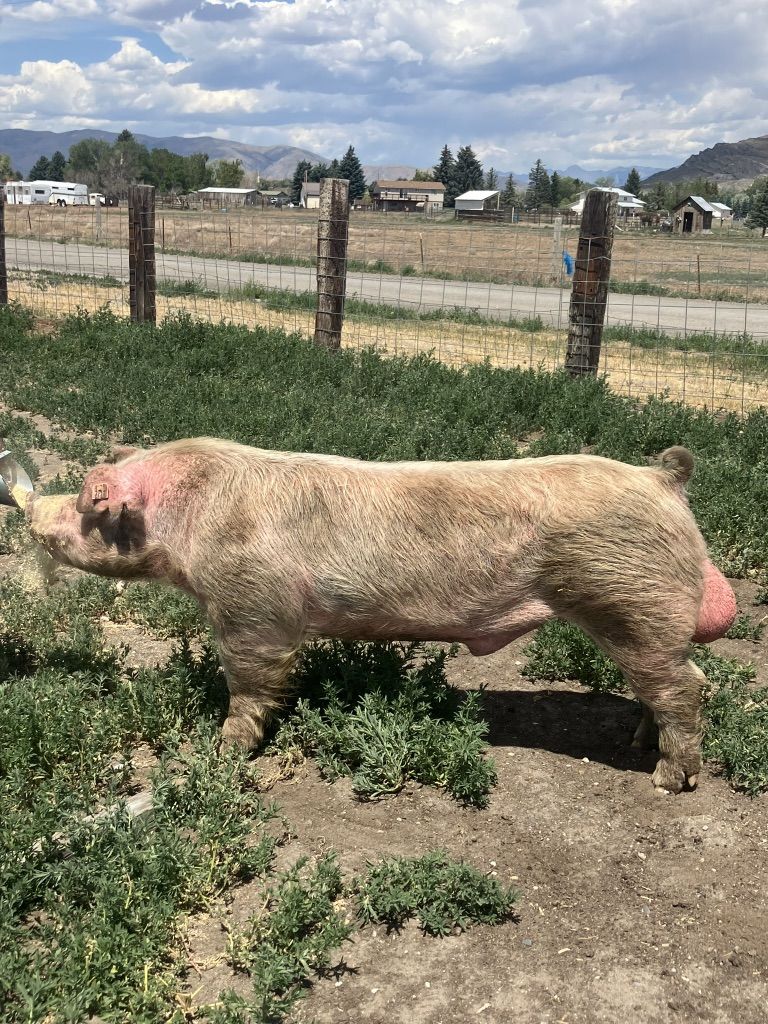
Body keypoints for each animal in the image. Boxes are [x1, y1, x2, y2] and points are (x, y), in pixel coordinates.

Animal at [26, 438, 737, 794]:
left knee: (688, 687)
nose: (33, 513)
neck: (193, 515)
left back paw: (666, 781)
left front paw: (221, 751)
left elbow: (250, 680)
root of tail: (664, 479)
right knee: (672, 685)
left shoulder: (251, 605)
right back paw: (638, 744)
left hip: (631, 601)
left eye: (89, 505)